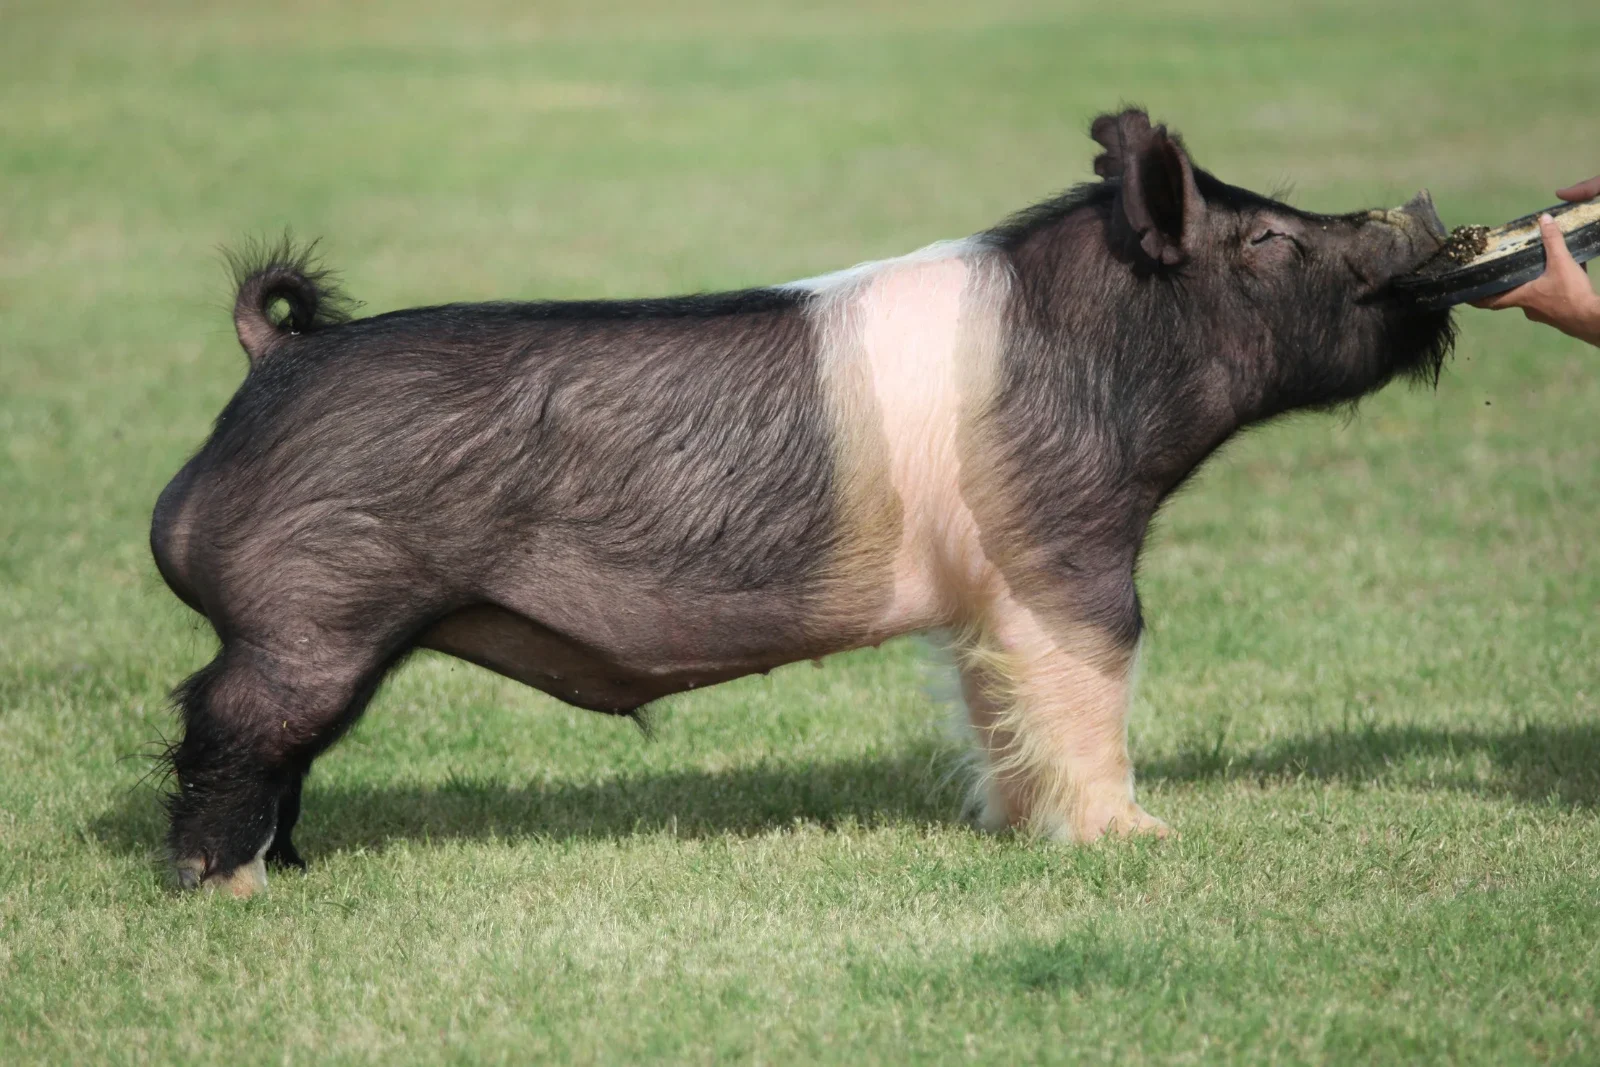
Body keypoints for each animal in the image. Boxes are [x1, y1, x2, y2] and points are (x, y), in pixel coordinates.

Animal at [149, 109, 1455, 895]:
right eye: (1271, 238)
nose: (1419, 214)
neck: (1099, 359)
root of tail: (274, 358)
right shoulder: (1068, 543)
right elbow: (1097, 679)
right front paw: (1138, 841)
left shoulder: (986, 593)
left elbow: (998, 701)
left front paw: (1015, 826)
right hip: (306, 616)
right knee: (223, 726)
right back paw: (231, 885)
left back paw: (297, 866)